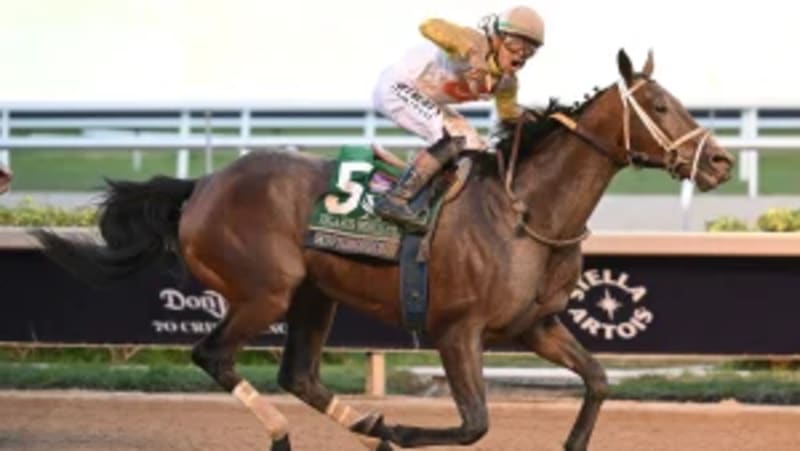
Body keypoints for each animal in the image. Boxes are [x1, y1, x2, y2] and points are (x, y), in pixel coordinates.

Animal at [31, 49, 733, 451]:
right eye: (659, 105)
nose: (721, 161)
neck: (525, 211)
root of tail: (202, 184)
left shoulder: (536, 325)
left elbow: (599, 381)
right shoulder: (457, 330)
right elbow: (475, 424)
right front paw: (398, 428)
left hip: (313, 296)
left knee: (298, 375)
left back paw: (362, 425)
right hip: (264, 293)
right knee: (213, 355)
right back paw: (298, 434)